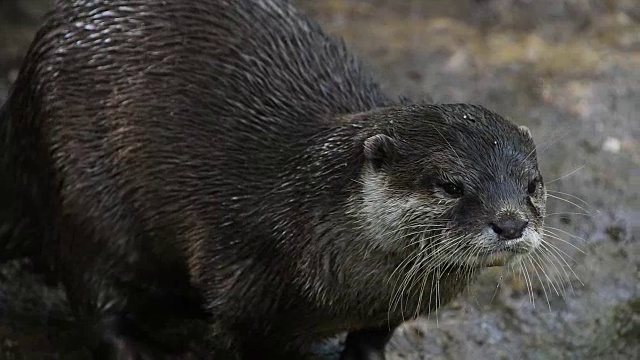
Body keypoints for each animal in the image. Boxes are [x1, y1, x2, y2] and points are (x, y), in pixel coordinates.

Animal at [1, 0, 544, 360]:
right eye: (451, 185)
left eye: (533, 184)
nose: (510, 223)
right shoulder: (246, 284)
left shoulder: (390, 311)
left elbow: (371, 340)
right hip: (79, 192)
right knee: (93, 296)